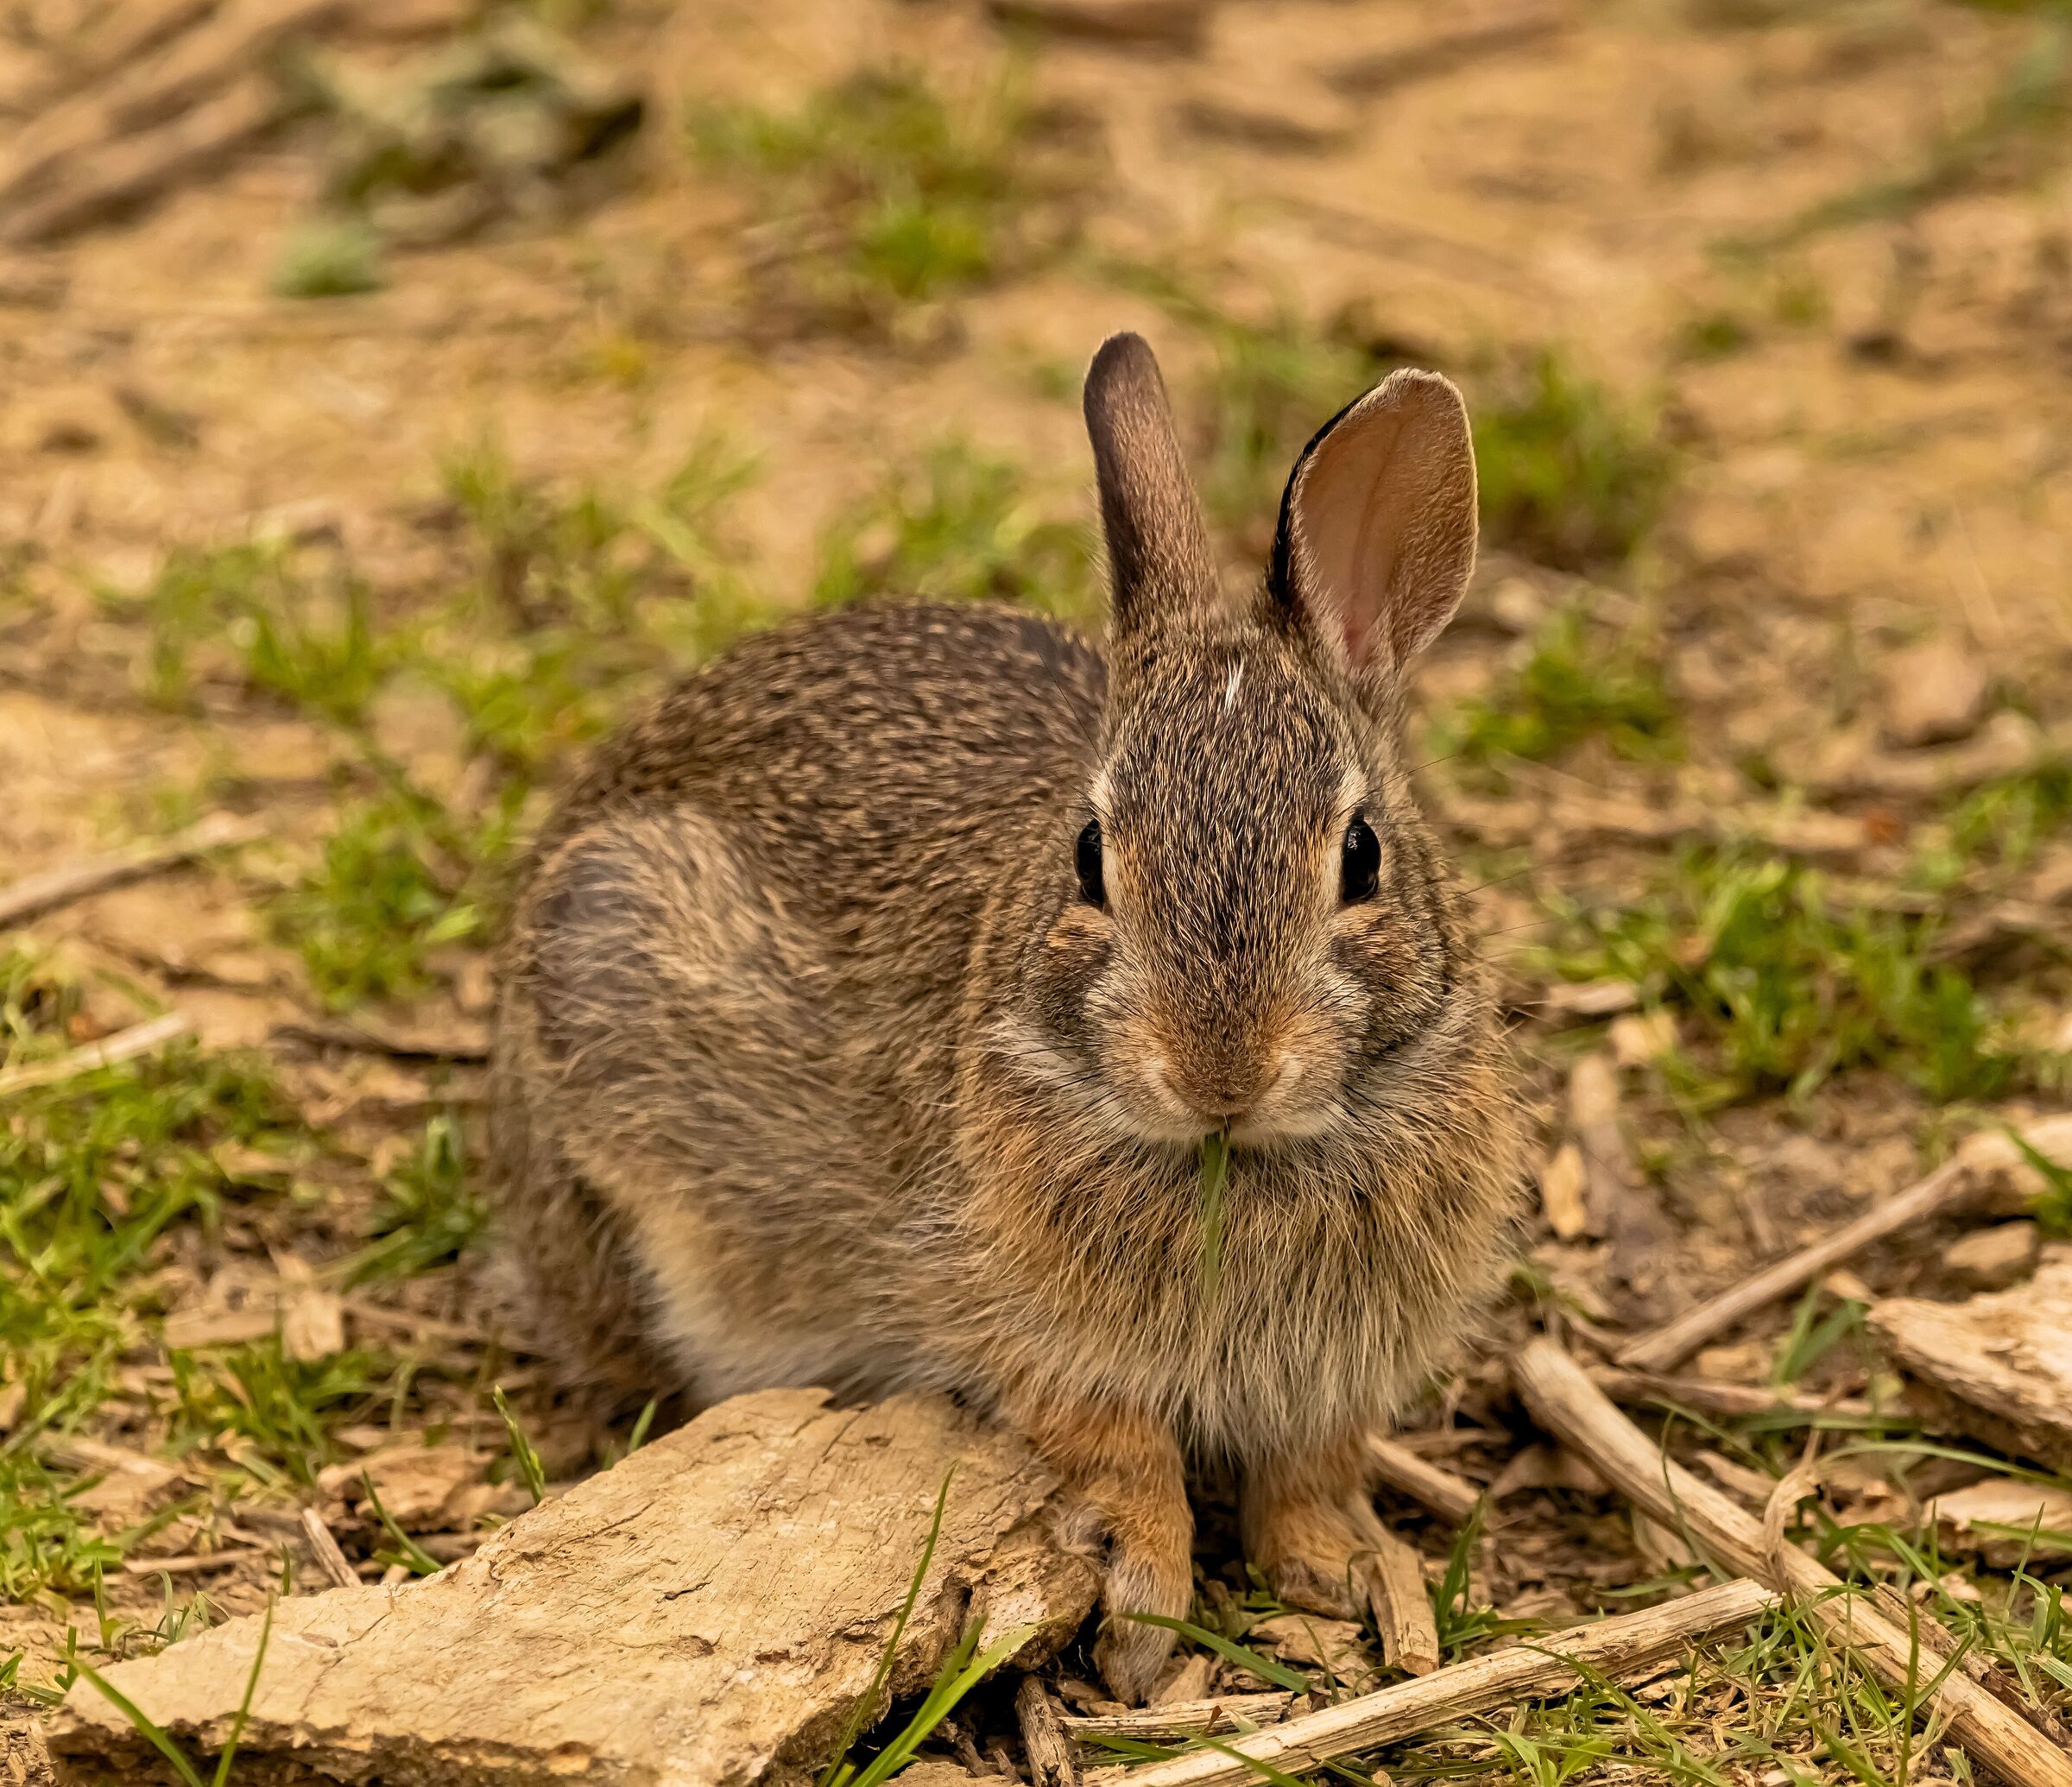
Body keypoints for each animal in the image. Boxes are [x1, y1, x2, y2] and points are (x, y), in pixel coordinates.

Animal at [488, 332, 1523, 1702]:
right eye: (1089, 855)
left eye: (1361, 856)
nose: (1219, 1066)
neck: (1231, 1159)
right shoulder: (1025, 1329)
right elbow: (1123, 1460)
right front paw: (1145, 1616)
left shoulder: (1331, 1377)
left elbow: (1306, 1471)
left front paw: (1330, 1571)